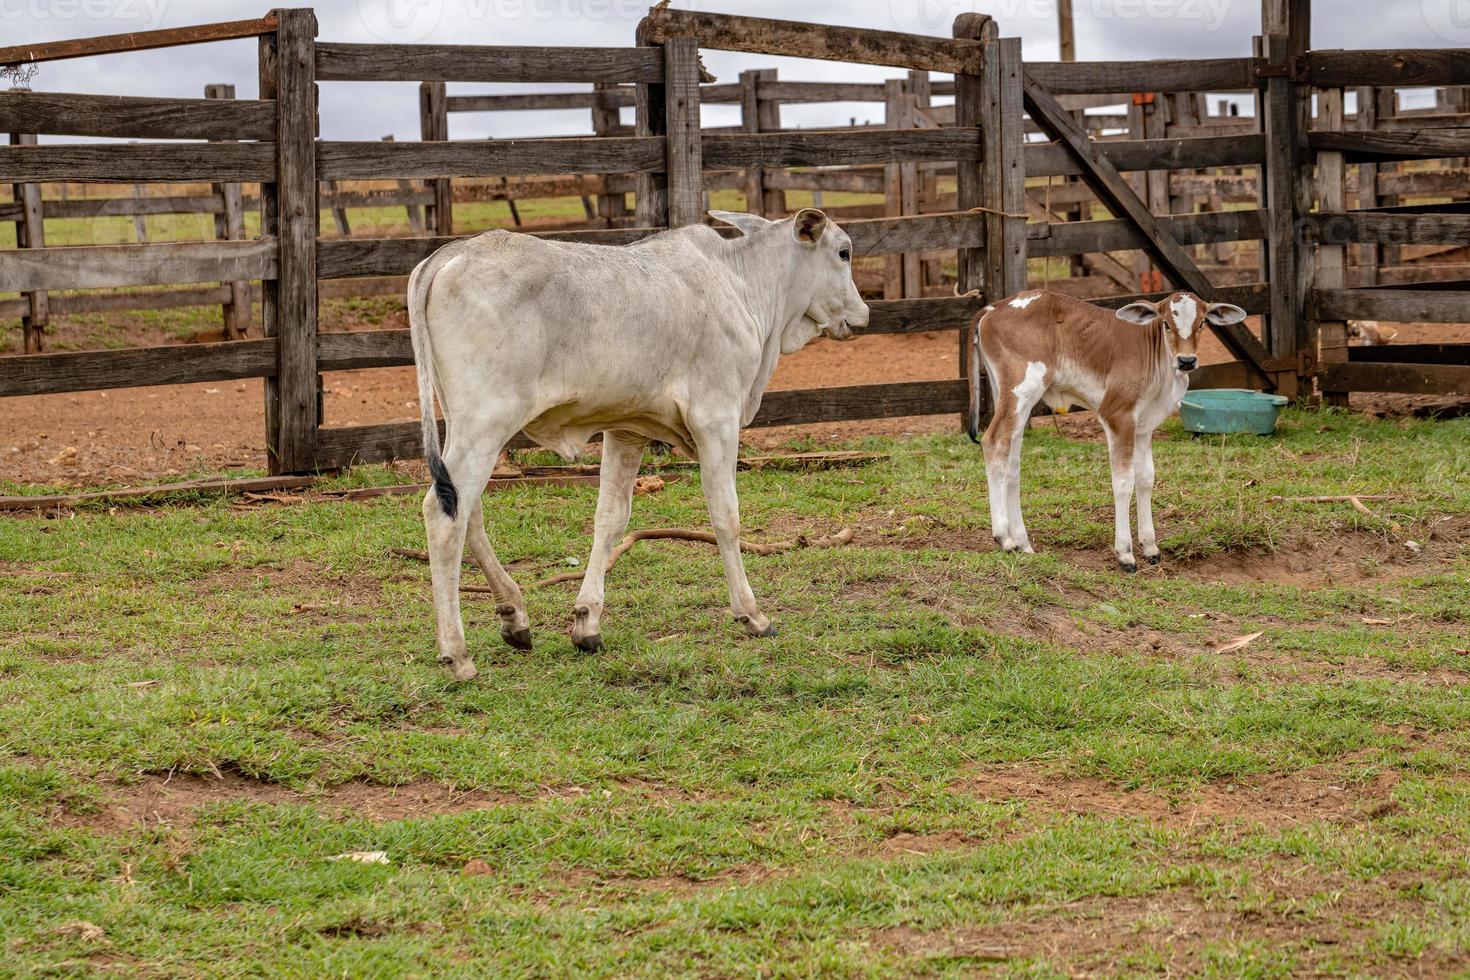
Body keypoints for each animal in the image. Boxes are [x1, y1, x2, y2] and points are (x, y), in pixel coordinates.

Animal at [408, 210, 864, 678]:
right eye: (844, 252)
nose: (862, 313)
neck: (740, 283)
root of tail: (452, 252)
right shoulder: (716, 420)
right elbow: (726, 517)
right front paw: (751, 614)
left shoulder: (628, 431)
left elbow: (610, 519)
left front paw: (587, 623)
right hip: (487, 421)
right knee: (443, 515)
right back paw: (458, 653)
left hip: (465, 424)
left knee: (467, 510)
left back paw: (514, 616)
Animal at [970, 287, 1246, 570]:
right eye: (1166, 323)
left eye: (1202, 323)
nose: (1187, 360)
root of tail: (994, 308)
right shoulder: (1117, 415)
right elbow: (1124, 481)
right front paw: (1125, 553)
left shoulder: (1143, 427)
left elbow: (1146, 478)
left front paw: (1150, 547)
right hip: (1023, 387)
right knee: (994, 441)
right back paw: (1004, 538)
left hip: (1012, 398)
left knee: (1012, 459)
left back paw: (1023, 542)